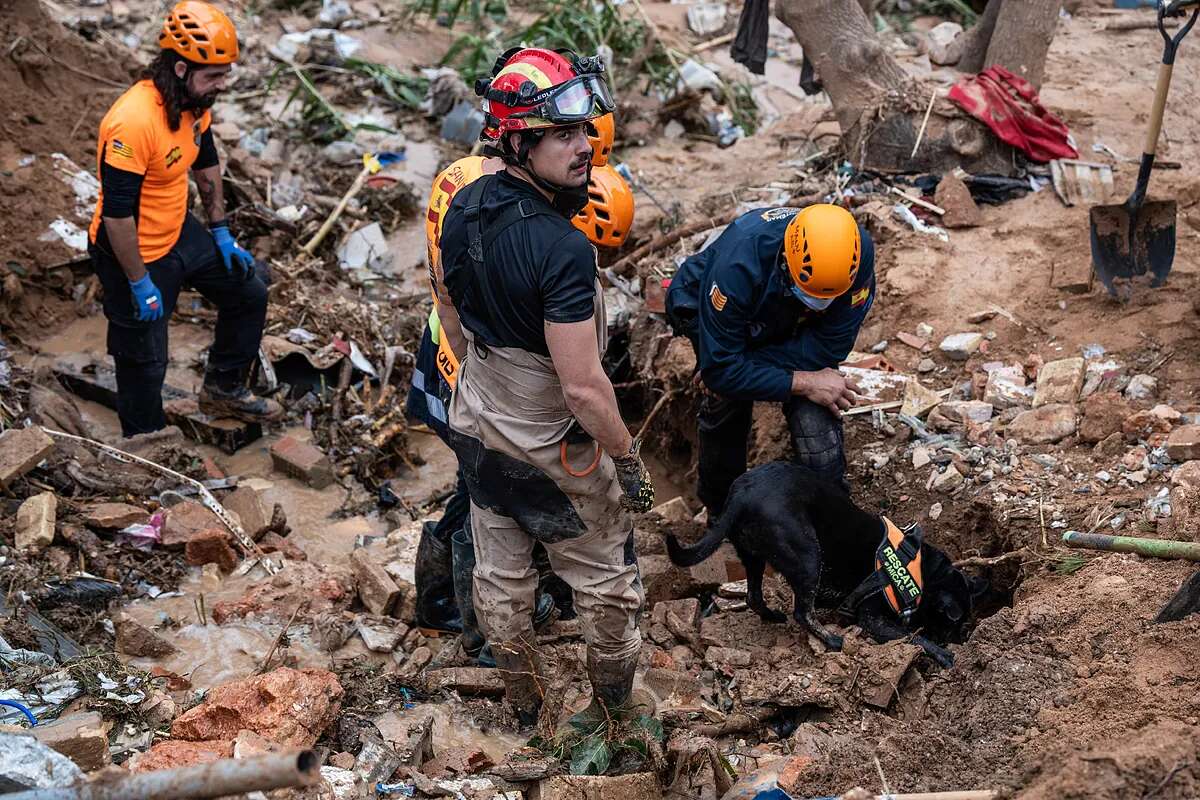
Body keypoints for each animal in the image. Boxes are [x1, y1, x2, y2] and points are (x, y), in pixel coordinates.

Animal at [667, 460, 984, 666]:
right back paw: (831, 641)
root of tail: (741, 495)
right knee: (801, 612)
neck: (919, 570)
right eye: (950, 625)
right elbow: (911, 637)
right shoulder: (873, 618)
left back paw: (772, 617)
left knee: (754, 596)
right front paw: (942, 654)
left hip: (754, 555)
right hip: (808, 553)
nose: (959, 639)